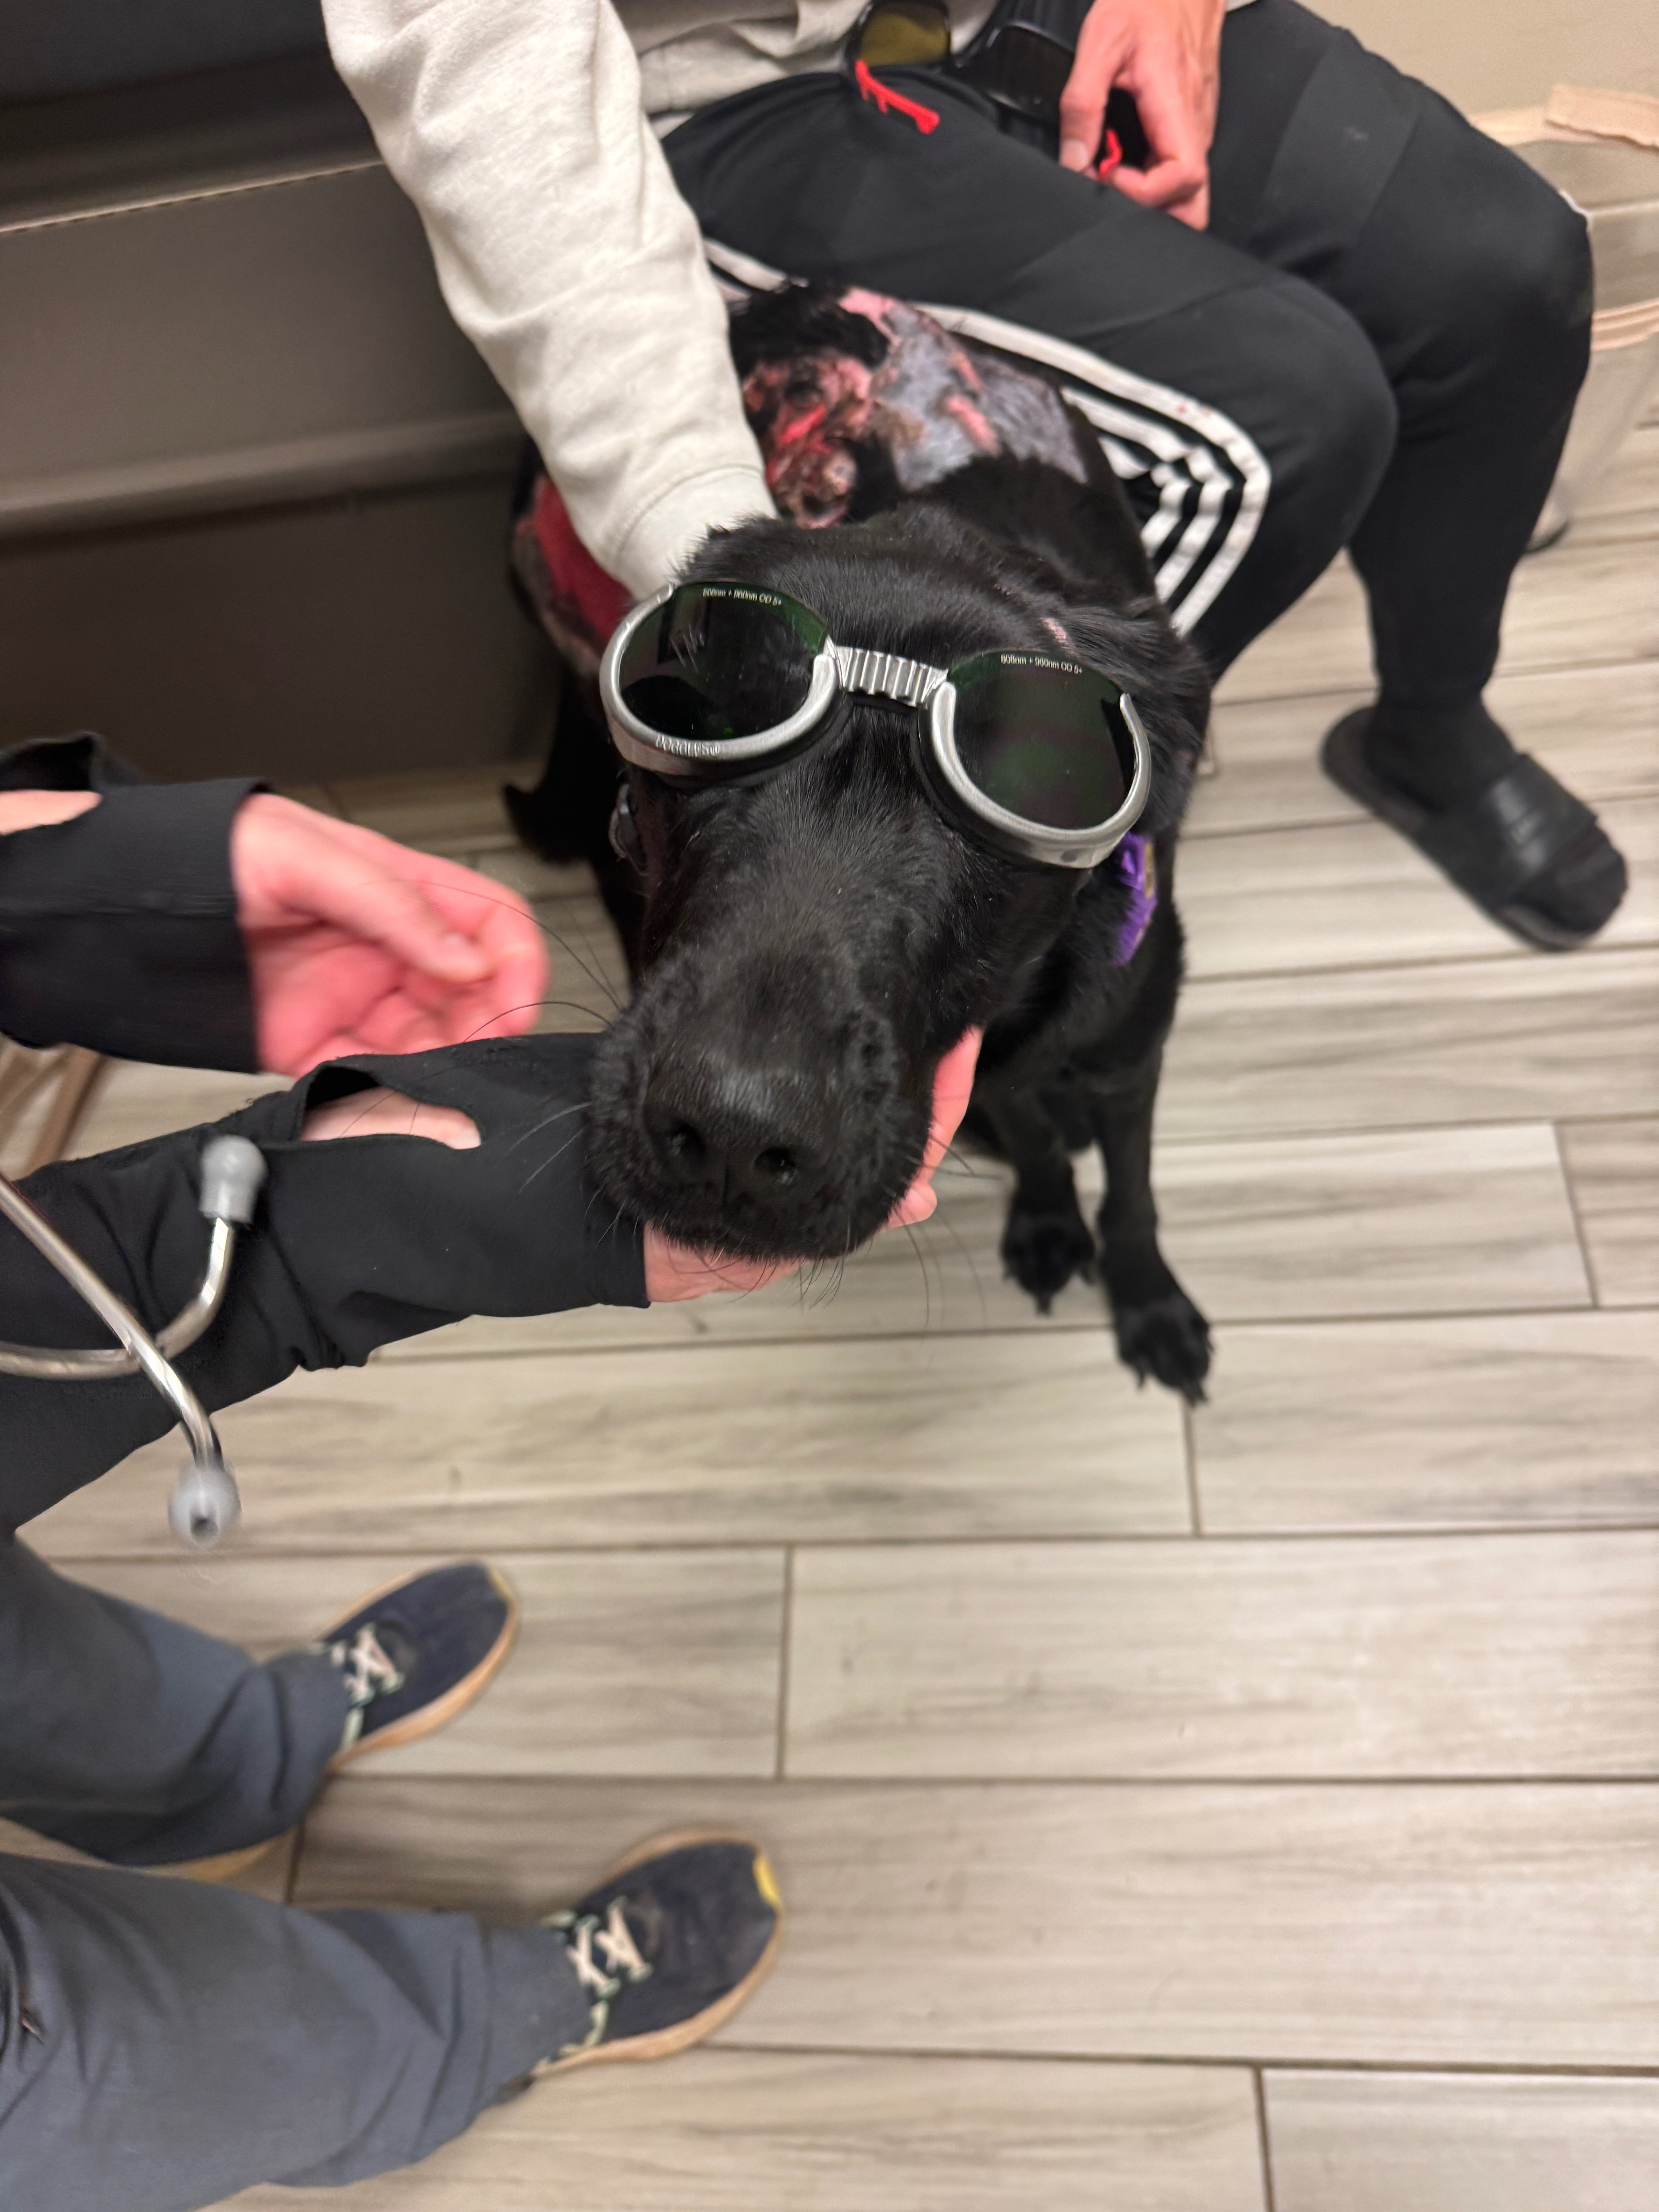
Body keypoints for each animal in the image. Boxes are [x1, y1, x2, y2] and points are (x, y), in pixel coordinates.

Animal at [516, 294, 1214, 1401]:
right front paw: (1048, 1220)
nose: (735, 1131)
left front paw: (1148, 1303)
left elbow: (1134, 1191)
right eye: (710, 709)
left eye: (1039, 772)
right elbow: (1033, 1135)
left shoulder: (1127, 1046)